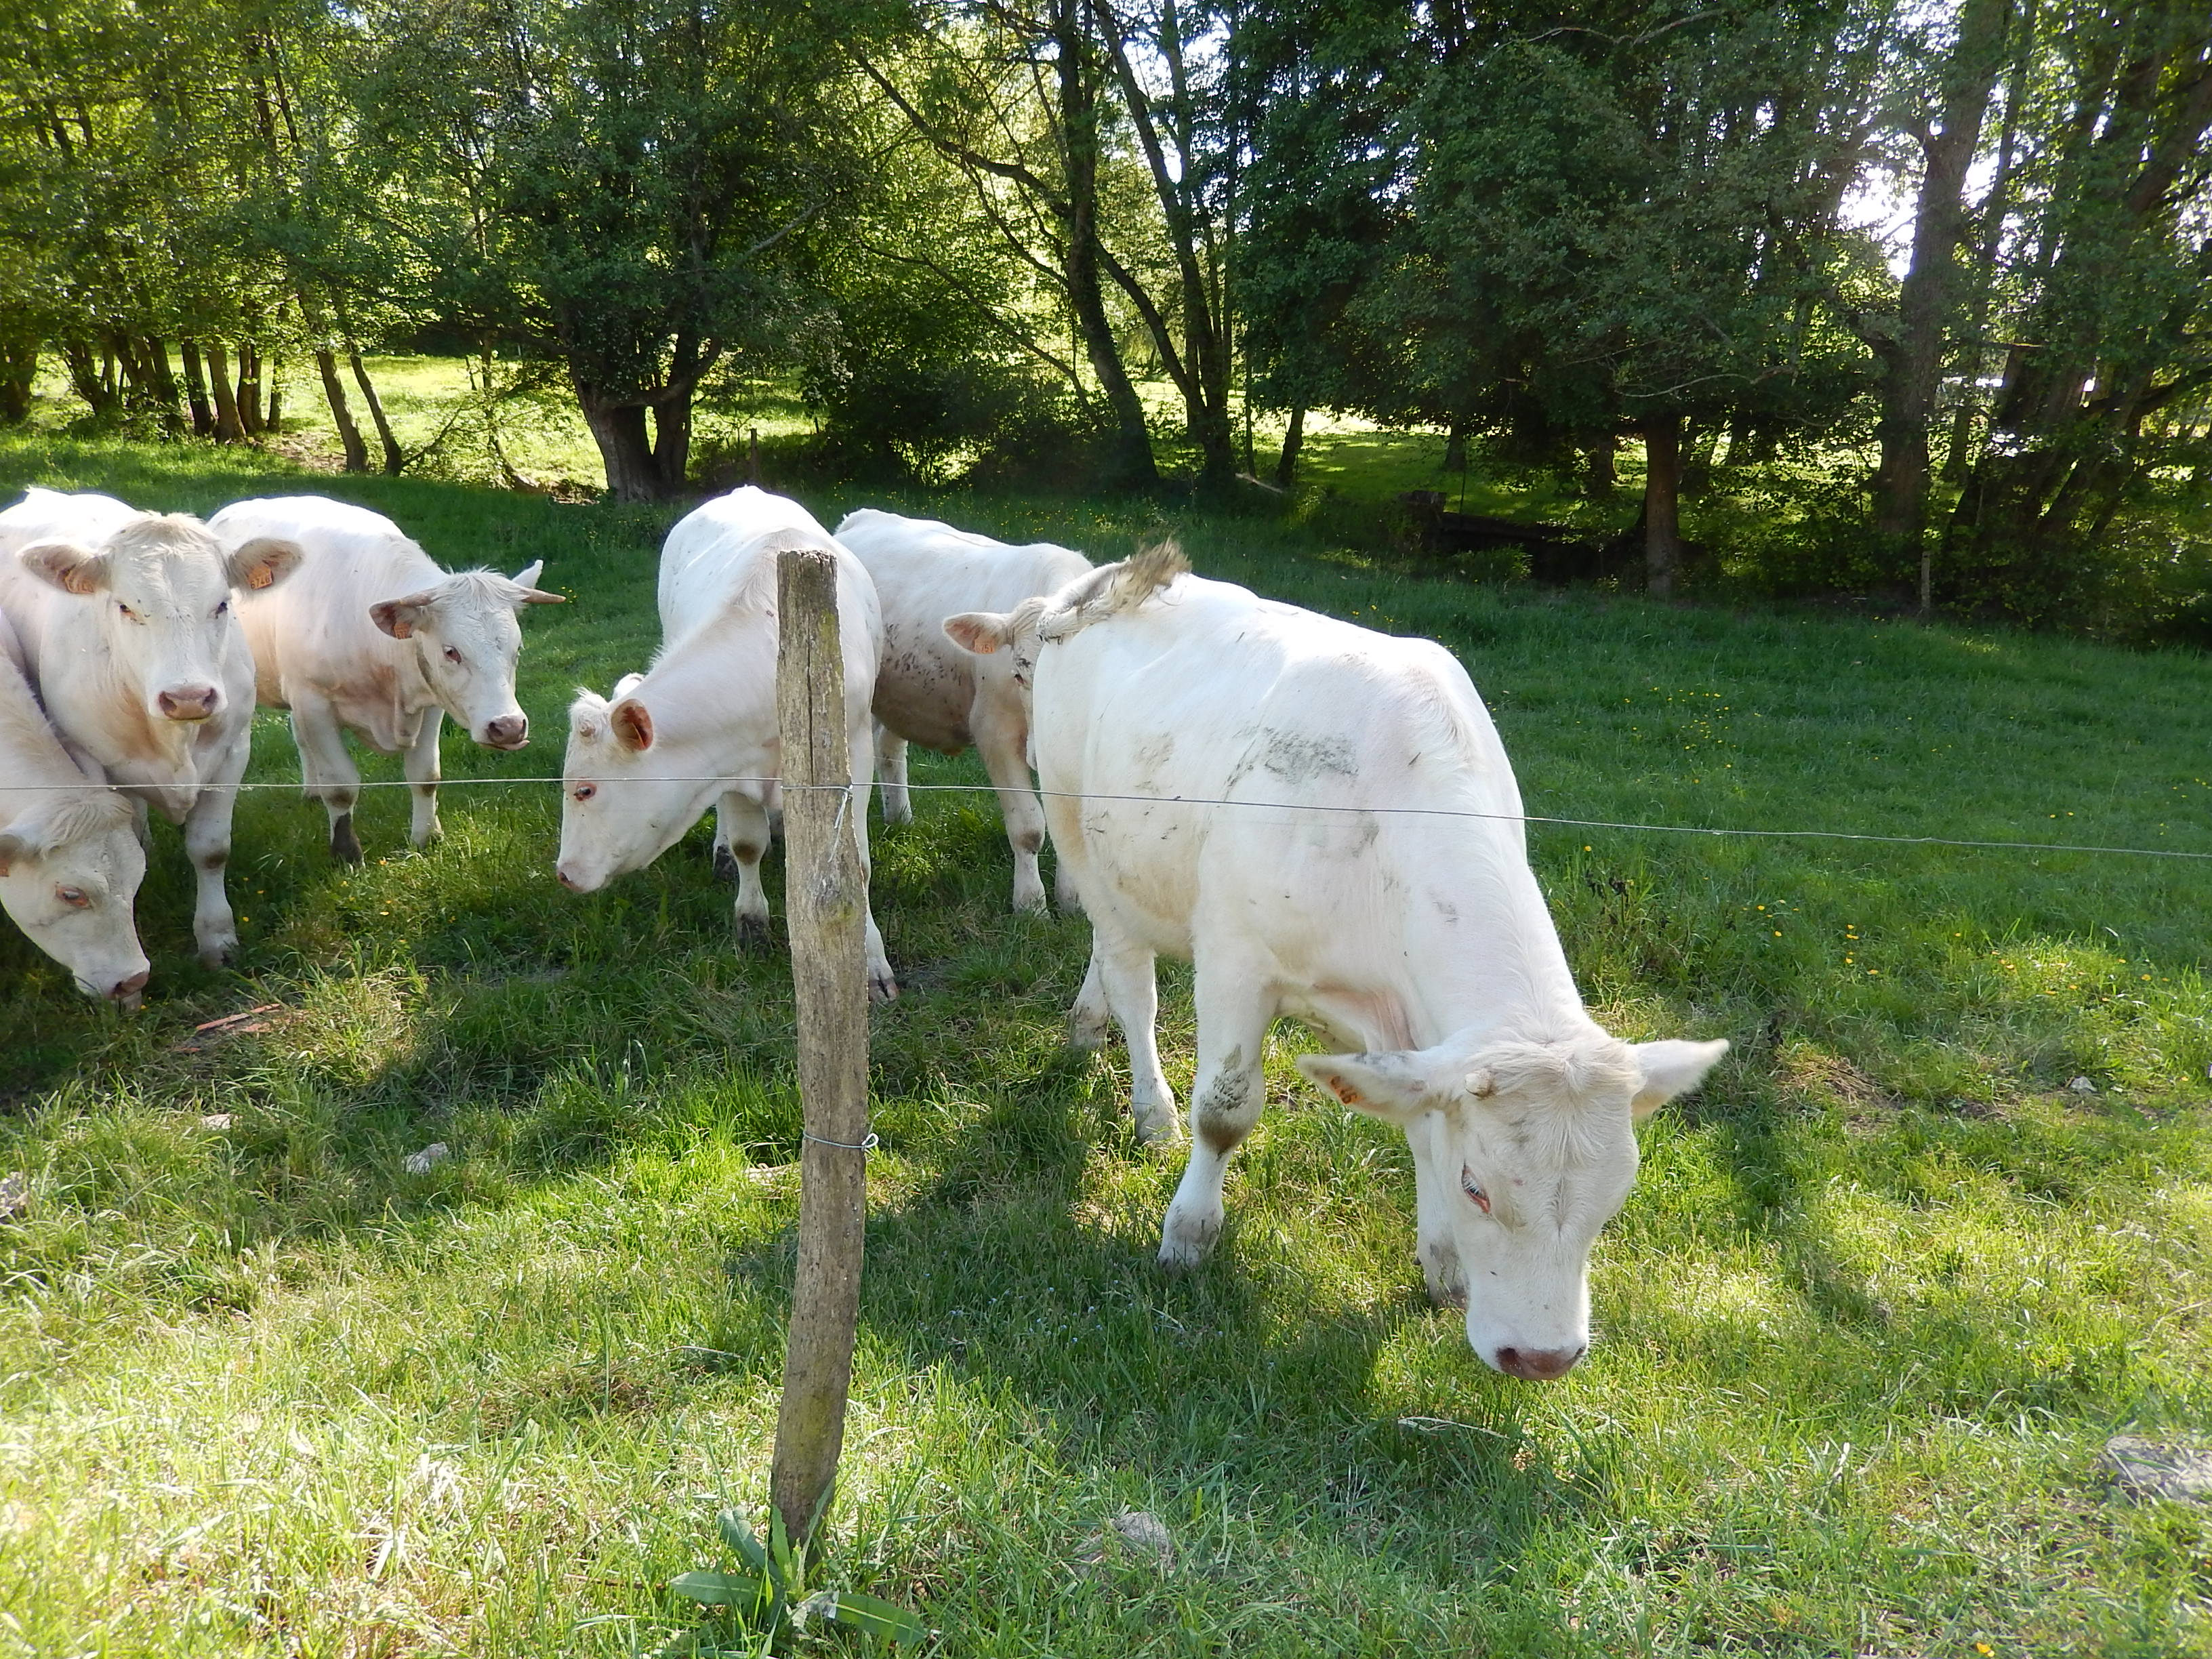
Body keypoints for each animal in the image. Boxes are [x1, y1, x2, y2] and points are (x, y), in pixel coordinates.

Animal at [207, 497, 566, 862]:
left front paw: (427, 837)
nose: (508, 727)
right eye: (451, 651)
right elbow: (340, 785)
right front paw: (346, 851)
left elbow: (426, 775)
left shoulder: (431, 701)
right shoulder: (313, 702)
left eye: (517, 648)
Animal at [832, 513, 1088, 916]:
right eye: (1019, 673)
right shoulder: (996, 733)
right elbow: (1028, 826)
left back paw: (900, 819)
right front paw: (1031, 905)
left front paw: (1073, 901)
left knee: (889, 748)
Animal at [951, 546, 1725, 1380]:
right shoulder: (1236, 962)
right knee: (1131, 979)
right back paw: (1150, 1106)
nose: (1543, 1357)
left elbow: (1421, 1119)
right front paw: (1188, 1234)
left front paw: (1442, 1264)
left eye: (1617, 1199)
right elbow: (1224, 1114)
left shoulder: (1414, 1027)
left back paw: (1086, 1023)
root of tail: (1099, 583)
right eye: (1478, 1188)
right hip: (1078, 829)